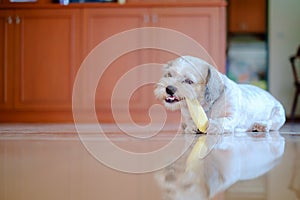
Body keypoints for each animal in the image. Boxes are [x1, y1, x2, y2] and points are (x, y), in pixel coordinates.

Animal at [155, 55, 286, 134]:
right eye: (169, 75)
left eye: (189, 81)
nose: (169, 89)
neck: (206, 105)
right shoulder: (186, 116)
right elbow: (188, 123)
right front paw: (192, 127)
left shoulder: (232, 116)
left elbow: (222, 121)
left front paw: (213, 125)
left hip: (278, 116)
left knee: (271, 123)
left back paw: (261, 125)